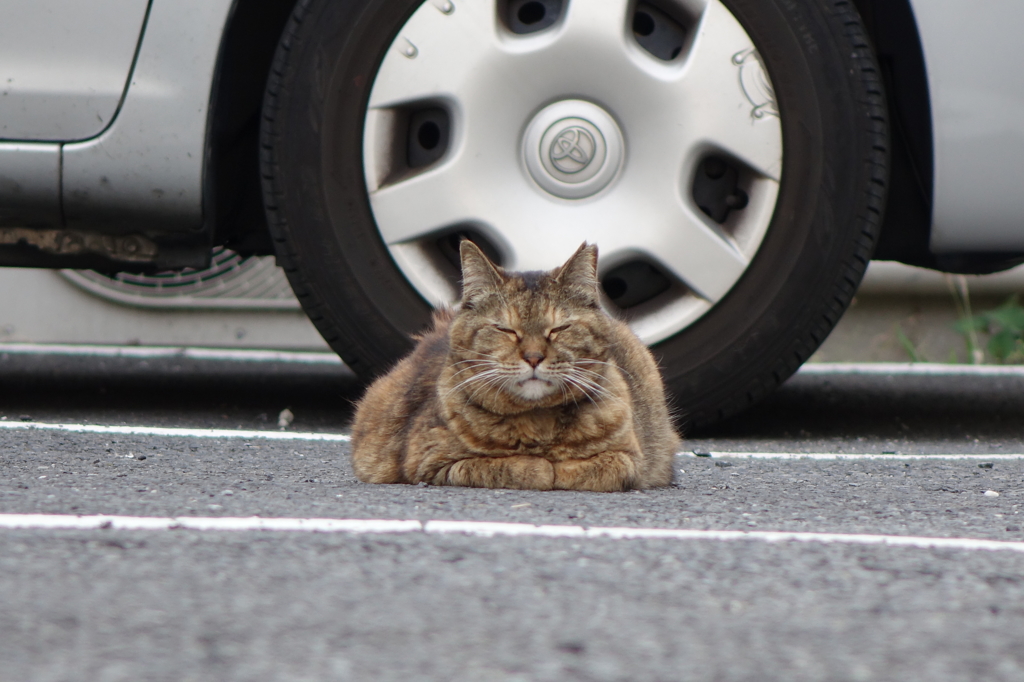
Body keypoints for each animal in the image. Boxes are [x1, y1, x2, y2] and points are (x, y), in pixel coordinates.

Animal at [352, 238, 679, 489]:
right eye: (505, 330)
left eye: (559, 328)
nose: (533, 357)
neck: (538, 424)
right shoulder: (431, 462)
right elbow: (518, 467)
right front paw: (542, 467)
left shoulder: (630, 459)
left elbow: (594, 468)